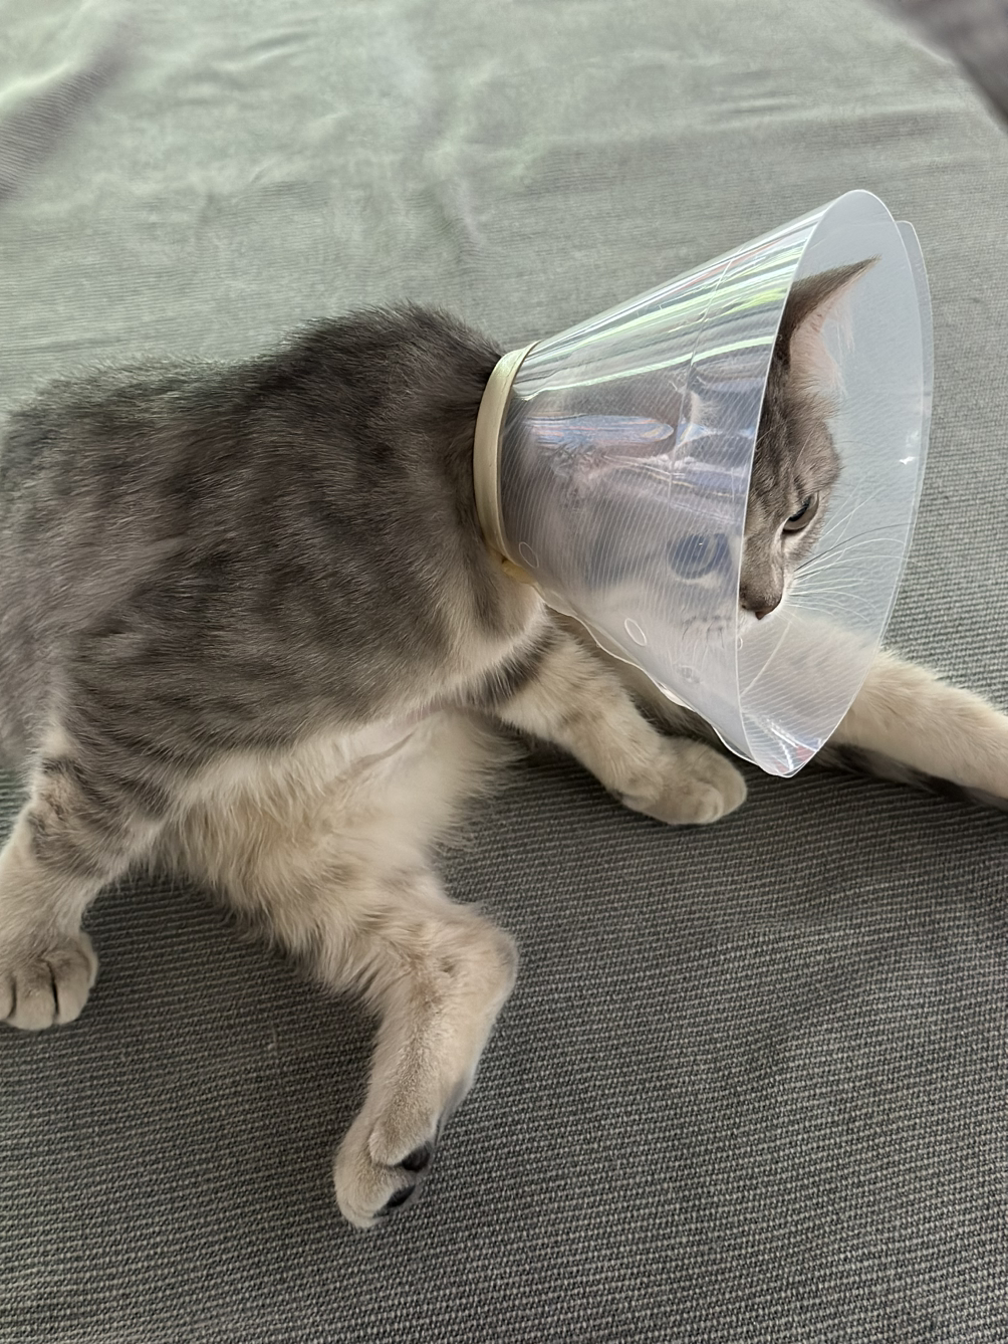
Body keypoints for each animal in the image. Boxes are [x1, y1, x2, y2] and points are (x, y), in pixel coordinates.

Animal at [0, 272, 1006, 1232]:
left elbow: (585, 700)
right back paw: (395, 1138)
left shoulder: (508, 653)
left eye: (801, 515)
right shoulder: (139, 677)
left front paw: (659, 772)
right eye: (700, 551)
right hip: (289, 852)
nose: (761, 601)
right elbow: (71, 829)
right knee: (473, 947)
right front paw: (29, 947)